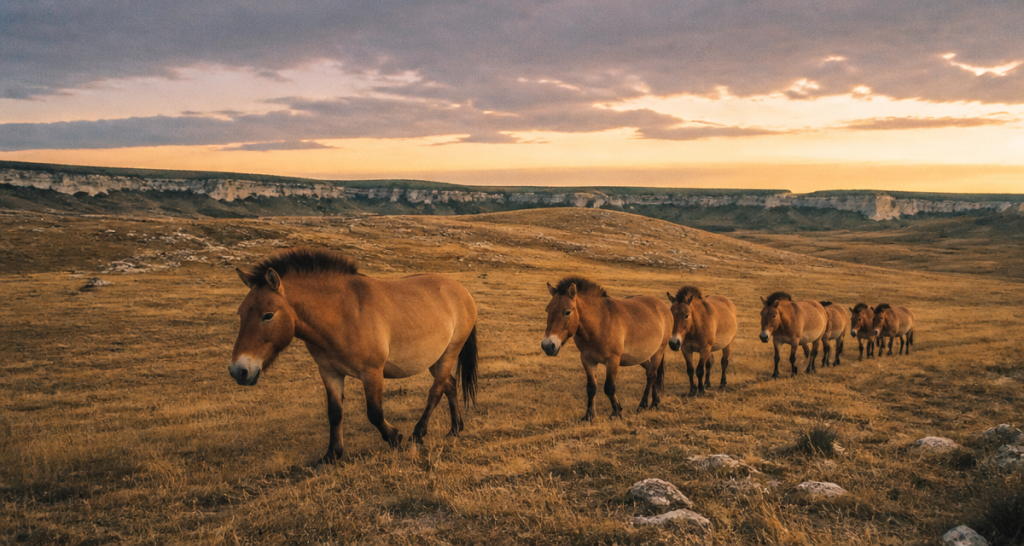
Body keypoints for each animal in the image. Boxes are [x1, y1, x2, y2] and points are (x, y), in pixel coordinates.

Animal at [229, 248, 479, 462]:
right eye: (240, 313)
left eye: (268, 315)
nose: (238, 371)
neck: (342, 314)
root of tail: (462, 291)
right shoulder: (329, 372)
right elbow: (335, 413)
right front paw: (332, 455)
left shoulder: (372, 373)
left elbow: (375, 413)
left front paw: (394, 438)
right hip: (434, 359)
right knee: (450, 385)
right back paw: (455, 428)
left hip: (449, 352)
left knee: (436, 391)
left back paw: (418, 434)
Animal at [542, 277, 672, 421]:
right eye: (547, 310)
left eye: (567, 312)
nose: (547, 345)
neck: (599, 323)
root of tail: (663, 306)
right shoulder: (587, 360)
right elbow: (591, 388)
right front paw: (589, 415)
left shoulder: (612, 361)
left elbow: (609, 388)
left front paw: (616, 412)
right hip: (641, 356)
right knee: (651, 373)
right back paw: (655, 401)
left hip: (658, 352)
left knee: (651, 375)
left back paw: (643, 405)